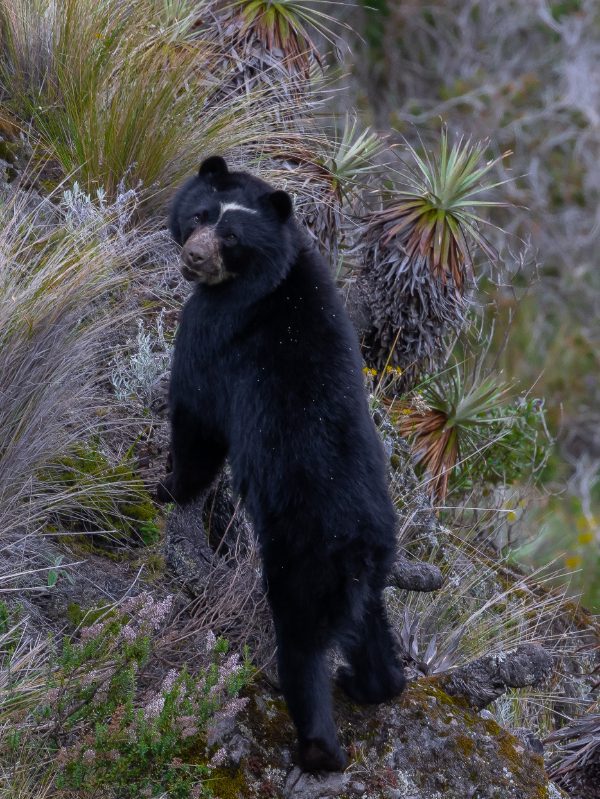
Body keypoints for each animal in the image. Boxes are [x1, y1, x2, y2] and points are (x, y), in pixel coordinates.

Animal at [159, 158, 406, 776]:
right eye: (199, 215)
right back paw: (371, 686)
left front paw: (168, 488)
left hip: (304, 559)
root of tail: (360, 544)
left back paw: (317, 748)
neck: (270, 275)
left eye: (231, 238)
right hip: (372, 577)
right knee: (370, 629)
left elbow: (196, 414)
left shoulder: (215, 330)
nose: (193, 257)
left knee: (301, 644)